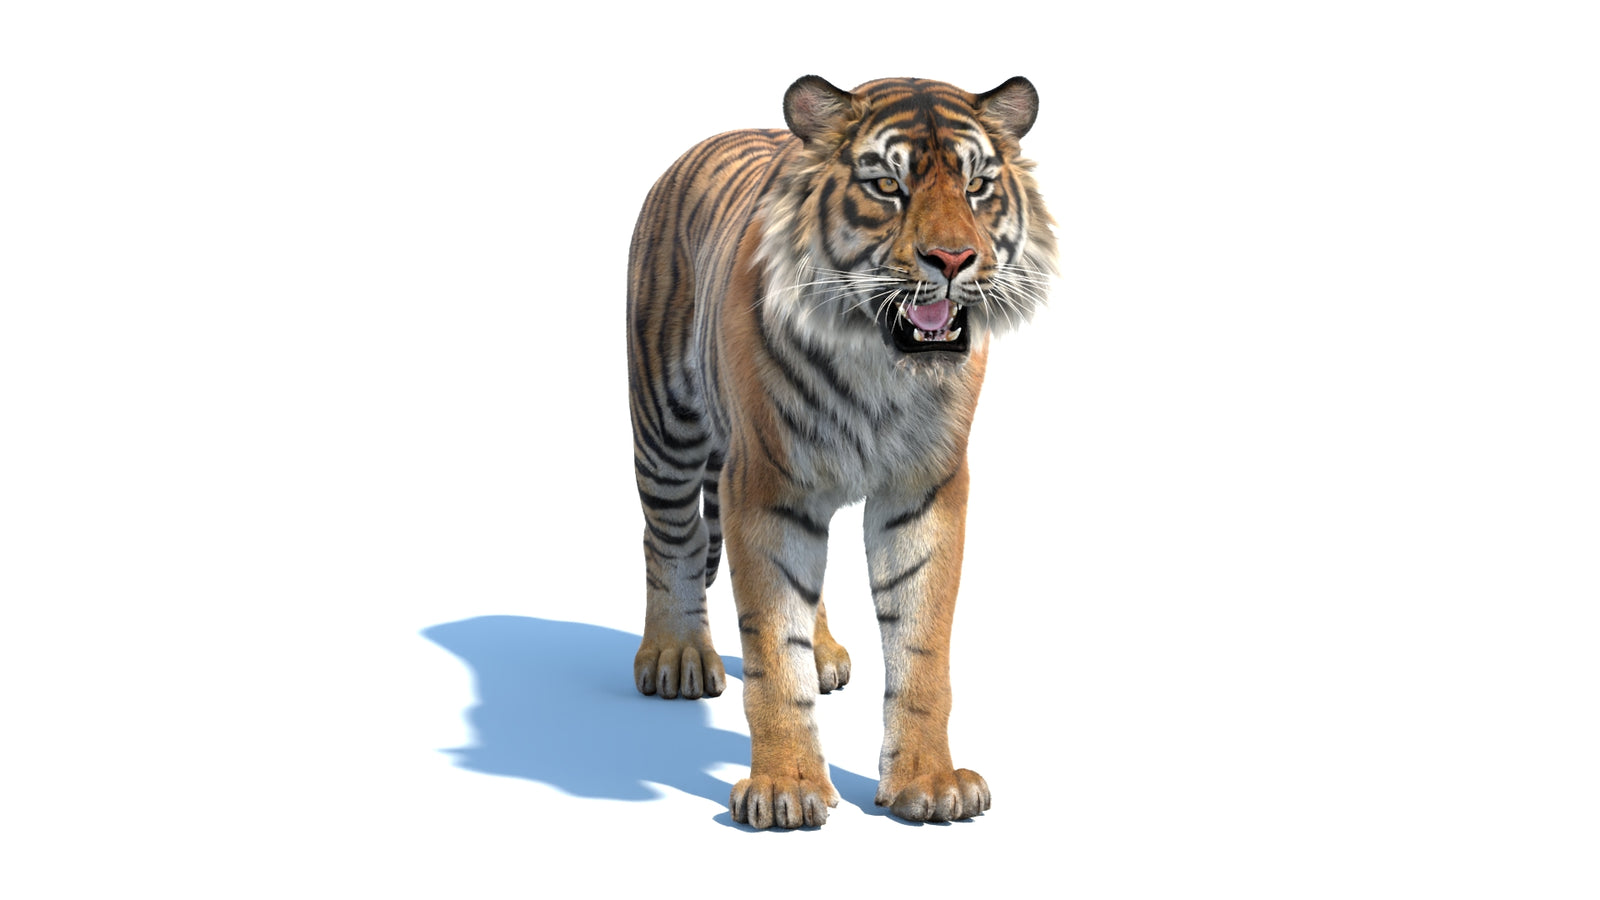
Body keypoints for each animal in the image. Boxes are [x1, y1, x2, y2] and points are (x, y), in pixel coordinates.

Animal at [626, 75, 1056, 828]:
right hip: (666, 424)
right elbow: (773, 646)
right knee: (670, 538)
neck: (879, 364)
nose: (952, 260)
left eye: (977, 185)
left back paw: (824, 652)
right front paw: (786, 787)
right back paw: (676, 656)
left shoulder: (925, 486)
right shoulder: (763, 483)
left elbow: (921, 645)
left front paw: (929, 782)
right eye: (887, 185)